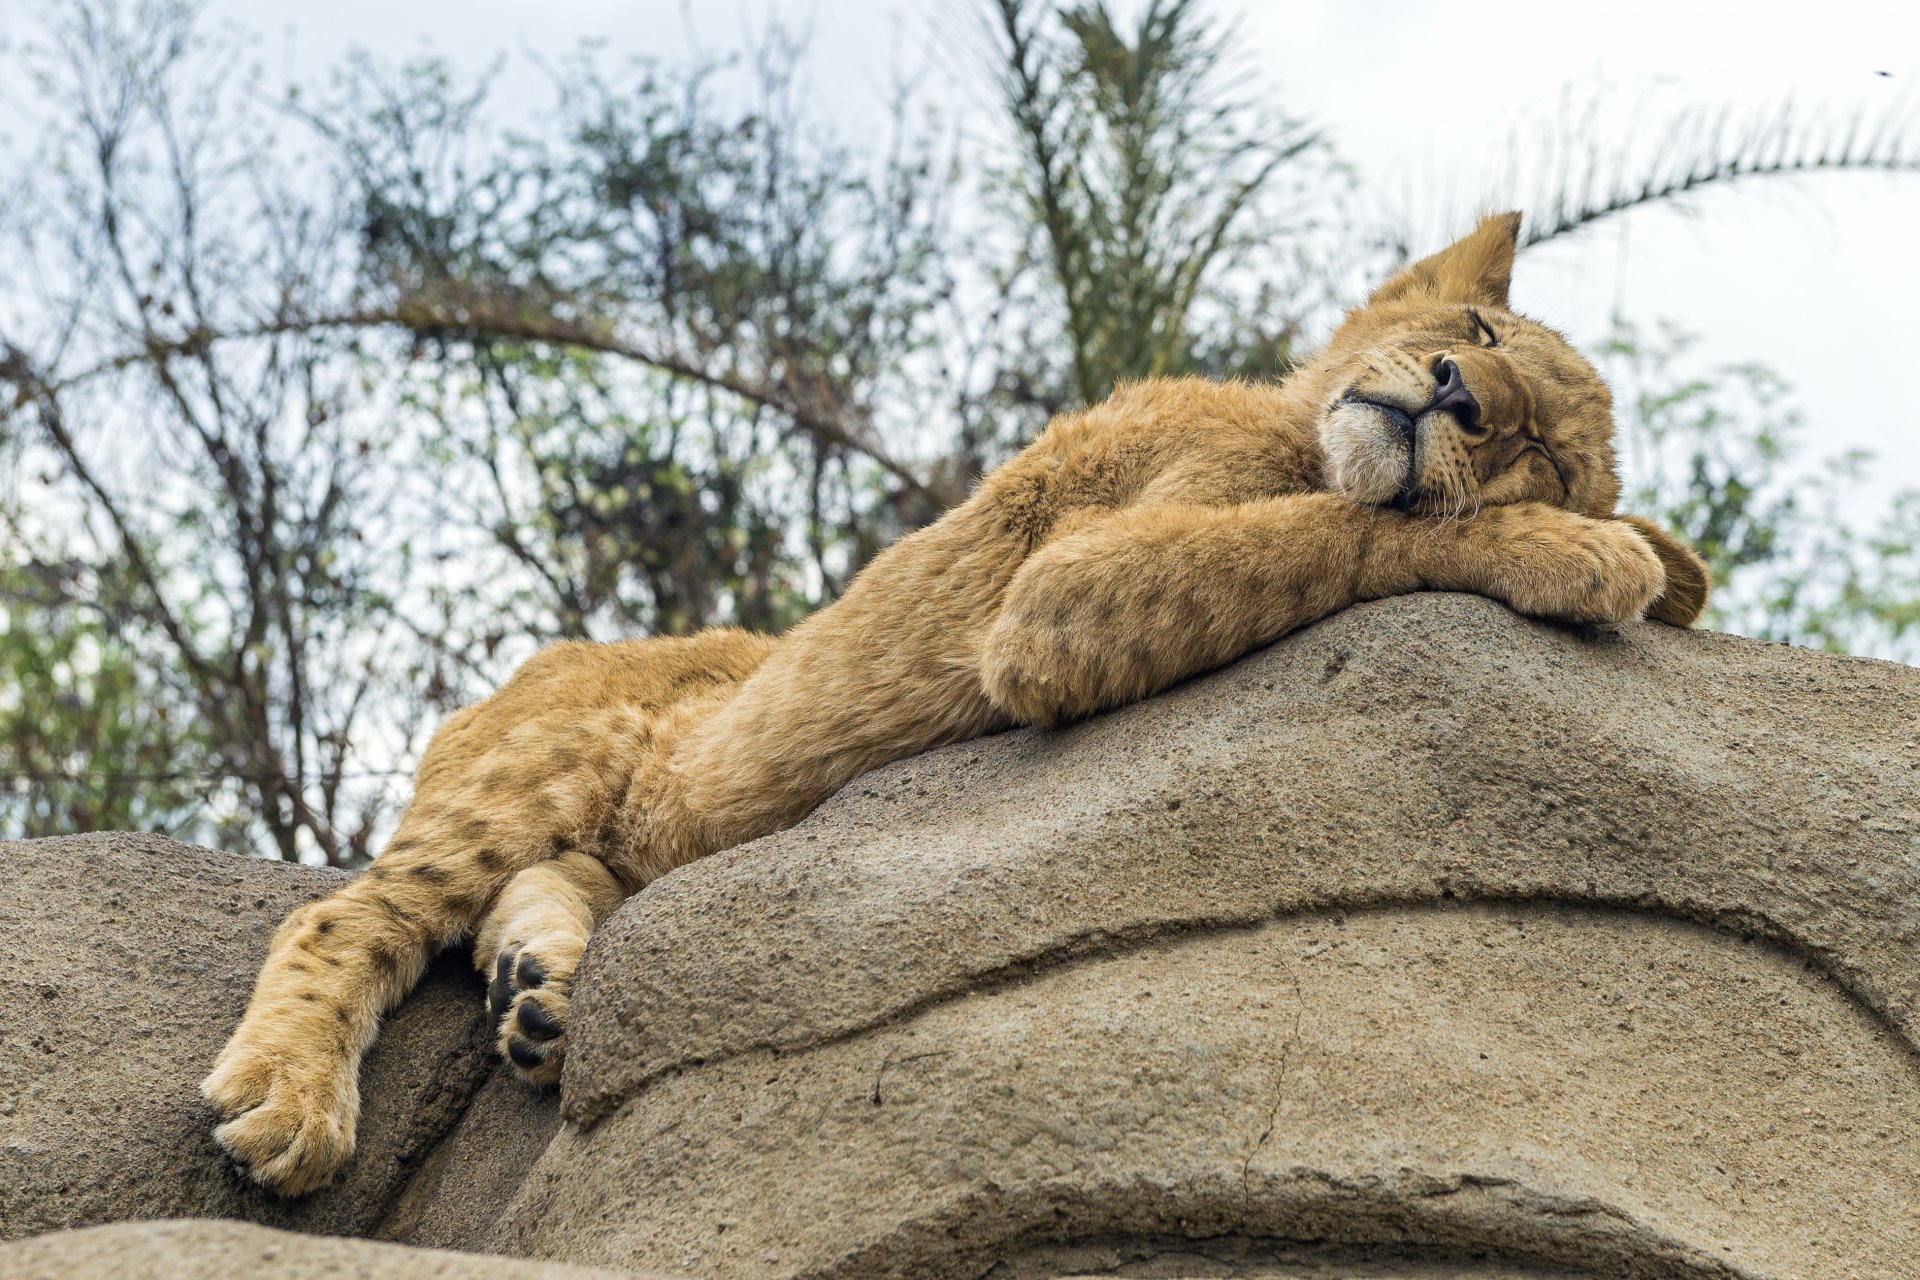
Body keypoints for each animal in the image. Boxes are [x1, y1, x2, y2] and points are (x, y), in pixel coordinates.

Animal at [202, 212, 1710, 1195]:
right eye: (1475, 330)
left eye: (1536, 443)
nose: (1454, 393)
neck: (1284, 422)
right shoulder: (1052, 601)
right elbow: (1354, 527)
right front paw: (1599, 557)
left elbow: (1356, 520)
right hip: (551, 750)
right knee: (346, 915)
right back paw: (288, 1100)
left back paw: (545, 994)